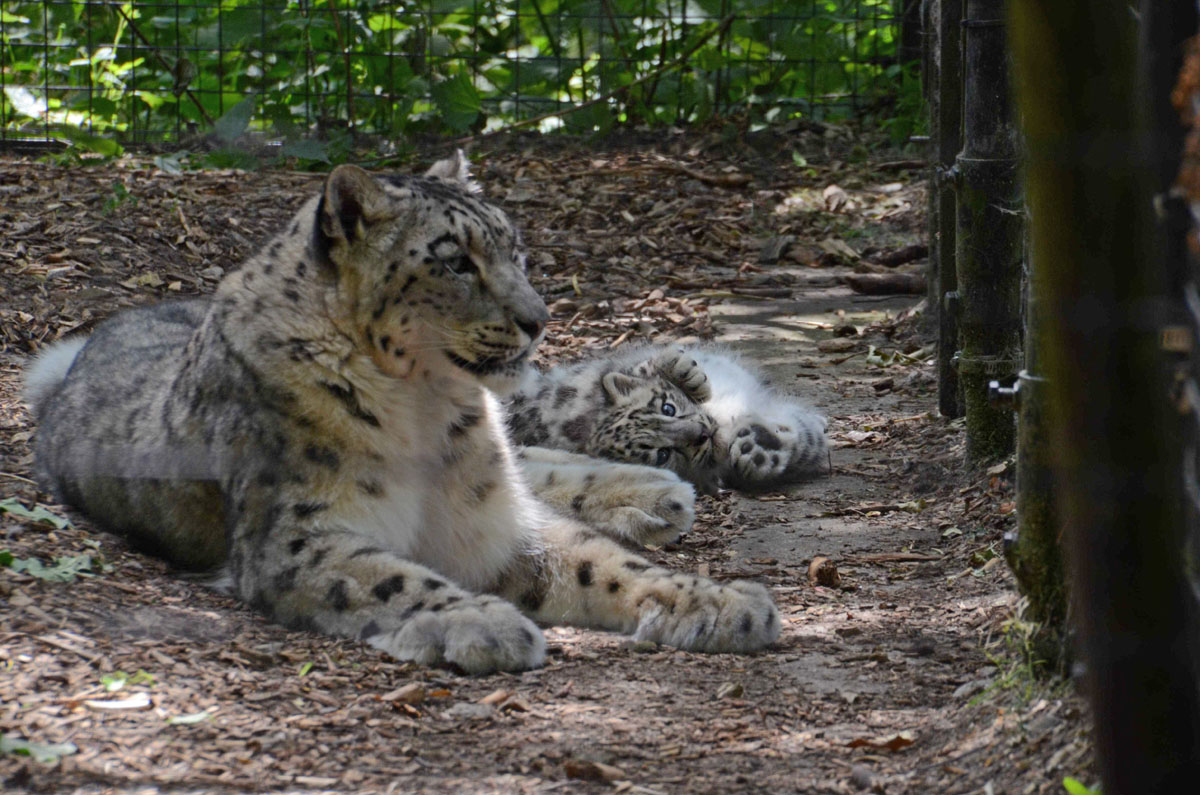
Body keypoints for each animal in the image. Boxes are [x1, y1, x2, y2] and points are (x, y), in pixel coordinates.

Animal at [23, 153, 779, 674]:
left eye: (516, 249)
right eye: (455, 261)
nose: (538, 320)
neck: (428, 410)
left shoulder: (492, 523)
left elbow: (602, 565)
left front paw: (723, 602)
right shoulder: (299, 536)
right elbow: (394, 577)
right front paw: (485, 620)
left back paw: (657, 495)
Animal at [506, 343, 829, 493]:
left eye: (668, 408)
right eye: (663, 455)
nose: (702, 433)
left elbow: (635, 368)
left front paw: (682, 370)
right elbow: (808, 445)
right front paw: (758, 452)